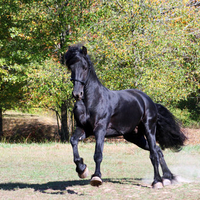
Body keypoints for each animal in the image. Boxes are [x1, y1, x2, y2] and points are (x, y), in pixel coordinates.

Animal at [65, 44, 186, 188]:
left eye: (84, 67)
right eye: (71, 67)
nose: (77, 94)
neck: (91, 101)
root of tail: (148, 101)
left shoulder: (100, 129)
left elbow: (98, 154)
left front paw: (96, 177)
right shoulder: (83, 129)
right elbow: (73, 142)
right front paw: (82, 169)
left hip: (149, 129)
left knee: (153, 153)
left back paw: (157, 181)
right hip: (134, 136)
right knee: (158, 150)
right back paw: (167, 178)